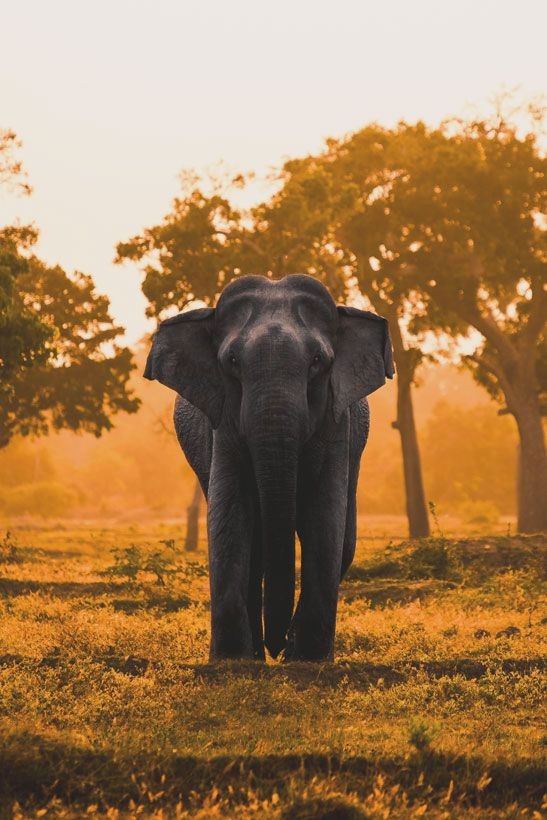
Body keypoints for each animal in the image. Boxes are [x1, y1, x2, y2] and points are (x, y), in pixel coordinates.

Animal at [144, 274, 394, 661]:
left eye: (317, 361)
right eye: (231, 360)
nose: (276, 645)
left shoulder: (339, 423)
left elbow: (325, 518)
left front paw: (307, 658)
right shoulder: (222, 427)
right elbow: (230, 516)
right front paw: (232, 660)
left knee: (344, 541)